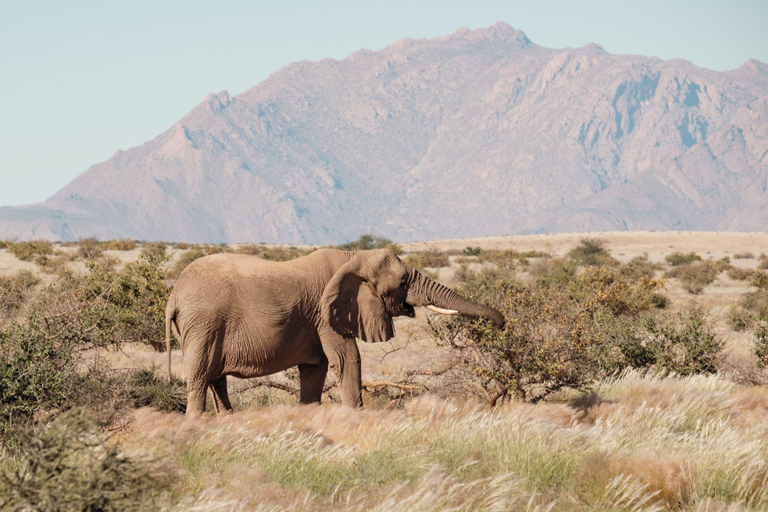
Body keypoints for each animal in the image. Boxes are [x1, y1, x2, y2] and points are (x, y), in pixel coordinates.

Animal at [165, 248, 504, 417]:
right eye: (403, 282)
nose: (501, 323)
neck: (352, 257)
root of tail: (173, 295)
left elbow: (315, 369)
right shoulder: (326, 313)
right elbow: (346, 359)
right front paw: (356, 417)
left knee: (215, 379)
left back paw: (228, 420)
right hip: (204, 324)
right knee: (200, 376)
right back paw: (196, 424)